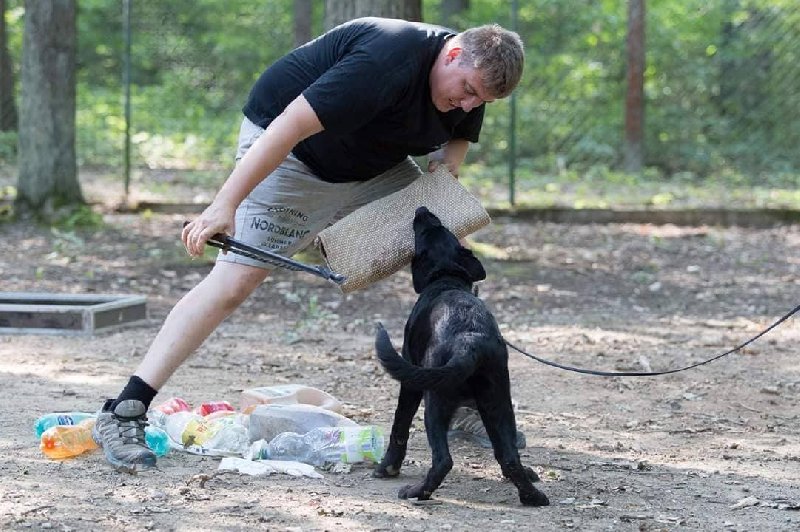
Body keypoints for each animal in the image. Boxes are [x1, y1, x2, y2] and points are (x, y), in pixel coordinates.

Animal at [376, 205, 552, 508]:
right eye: (442, 228)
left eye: (423, 233)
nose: (422, 209)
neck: (447, 279)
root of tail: (470, 342)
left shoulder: (410, 382)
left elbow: (400, 426)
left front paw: (387, 468)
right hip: (498, 403)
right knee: (508, 457)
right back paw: (532, 496)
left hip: (436, 402)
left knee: (443, 460)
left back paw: (417, 492)